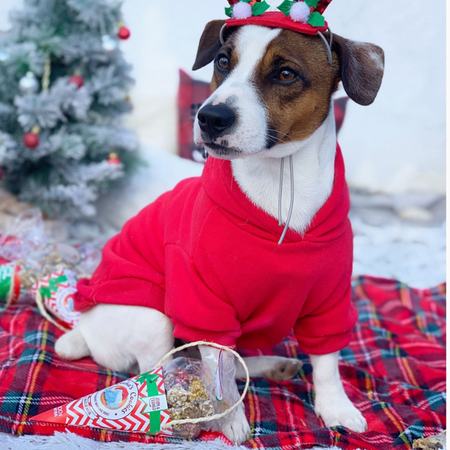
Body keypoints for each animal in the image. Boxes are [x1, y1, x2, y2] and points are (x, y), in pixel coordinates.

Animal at [55, 16, 384, 442]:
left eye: (286, 73)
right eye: (223, 61)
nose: (210, 117)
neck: (282, 183)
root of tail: (84, 328)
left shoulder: (330, 298)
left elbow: (326, 360)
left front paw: (336, 408)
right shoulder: (205, 303)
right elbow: (220, 370)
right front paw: (229, 419)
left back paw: (272, 365)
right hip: (153, 315)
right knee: (165, 367)